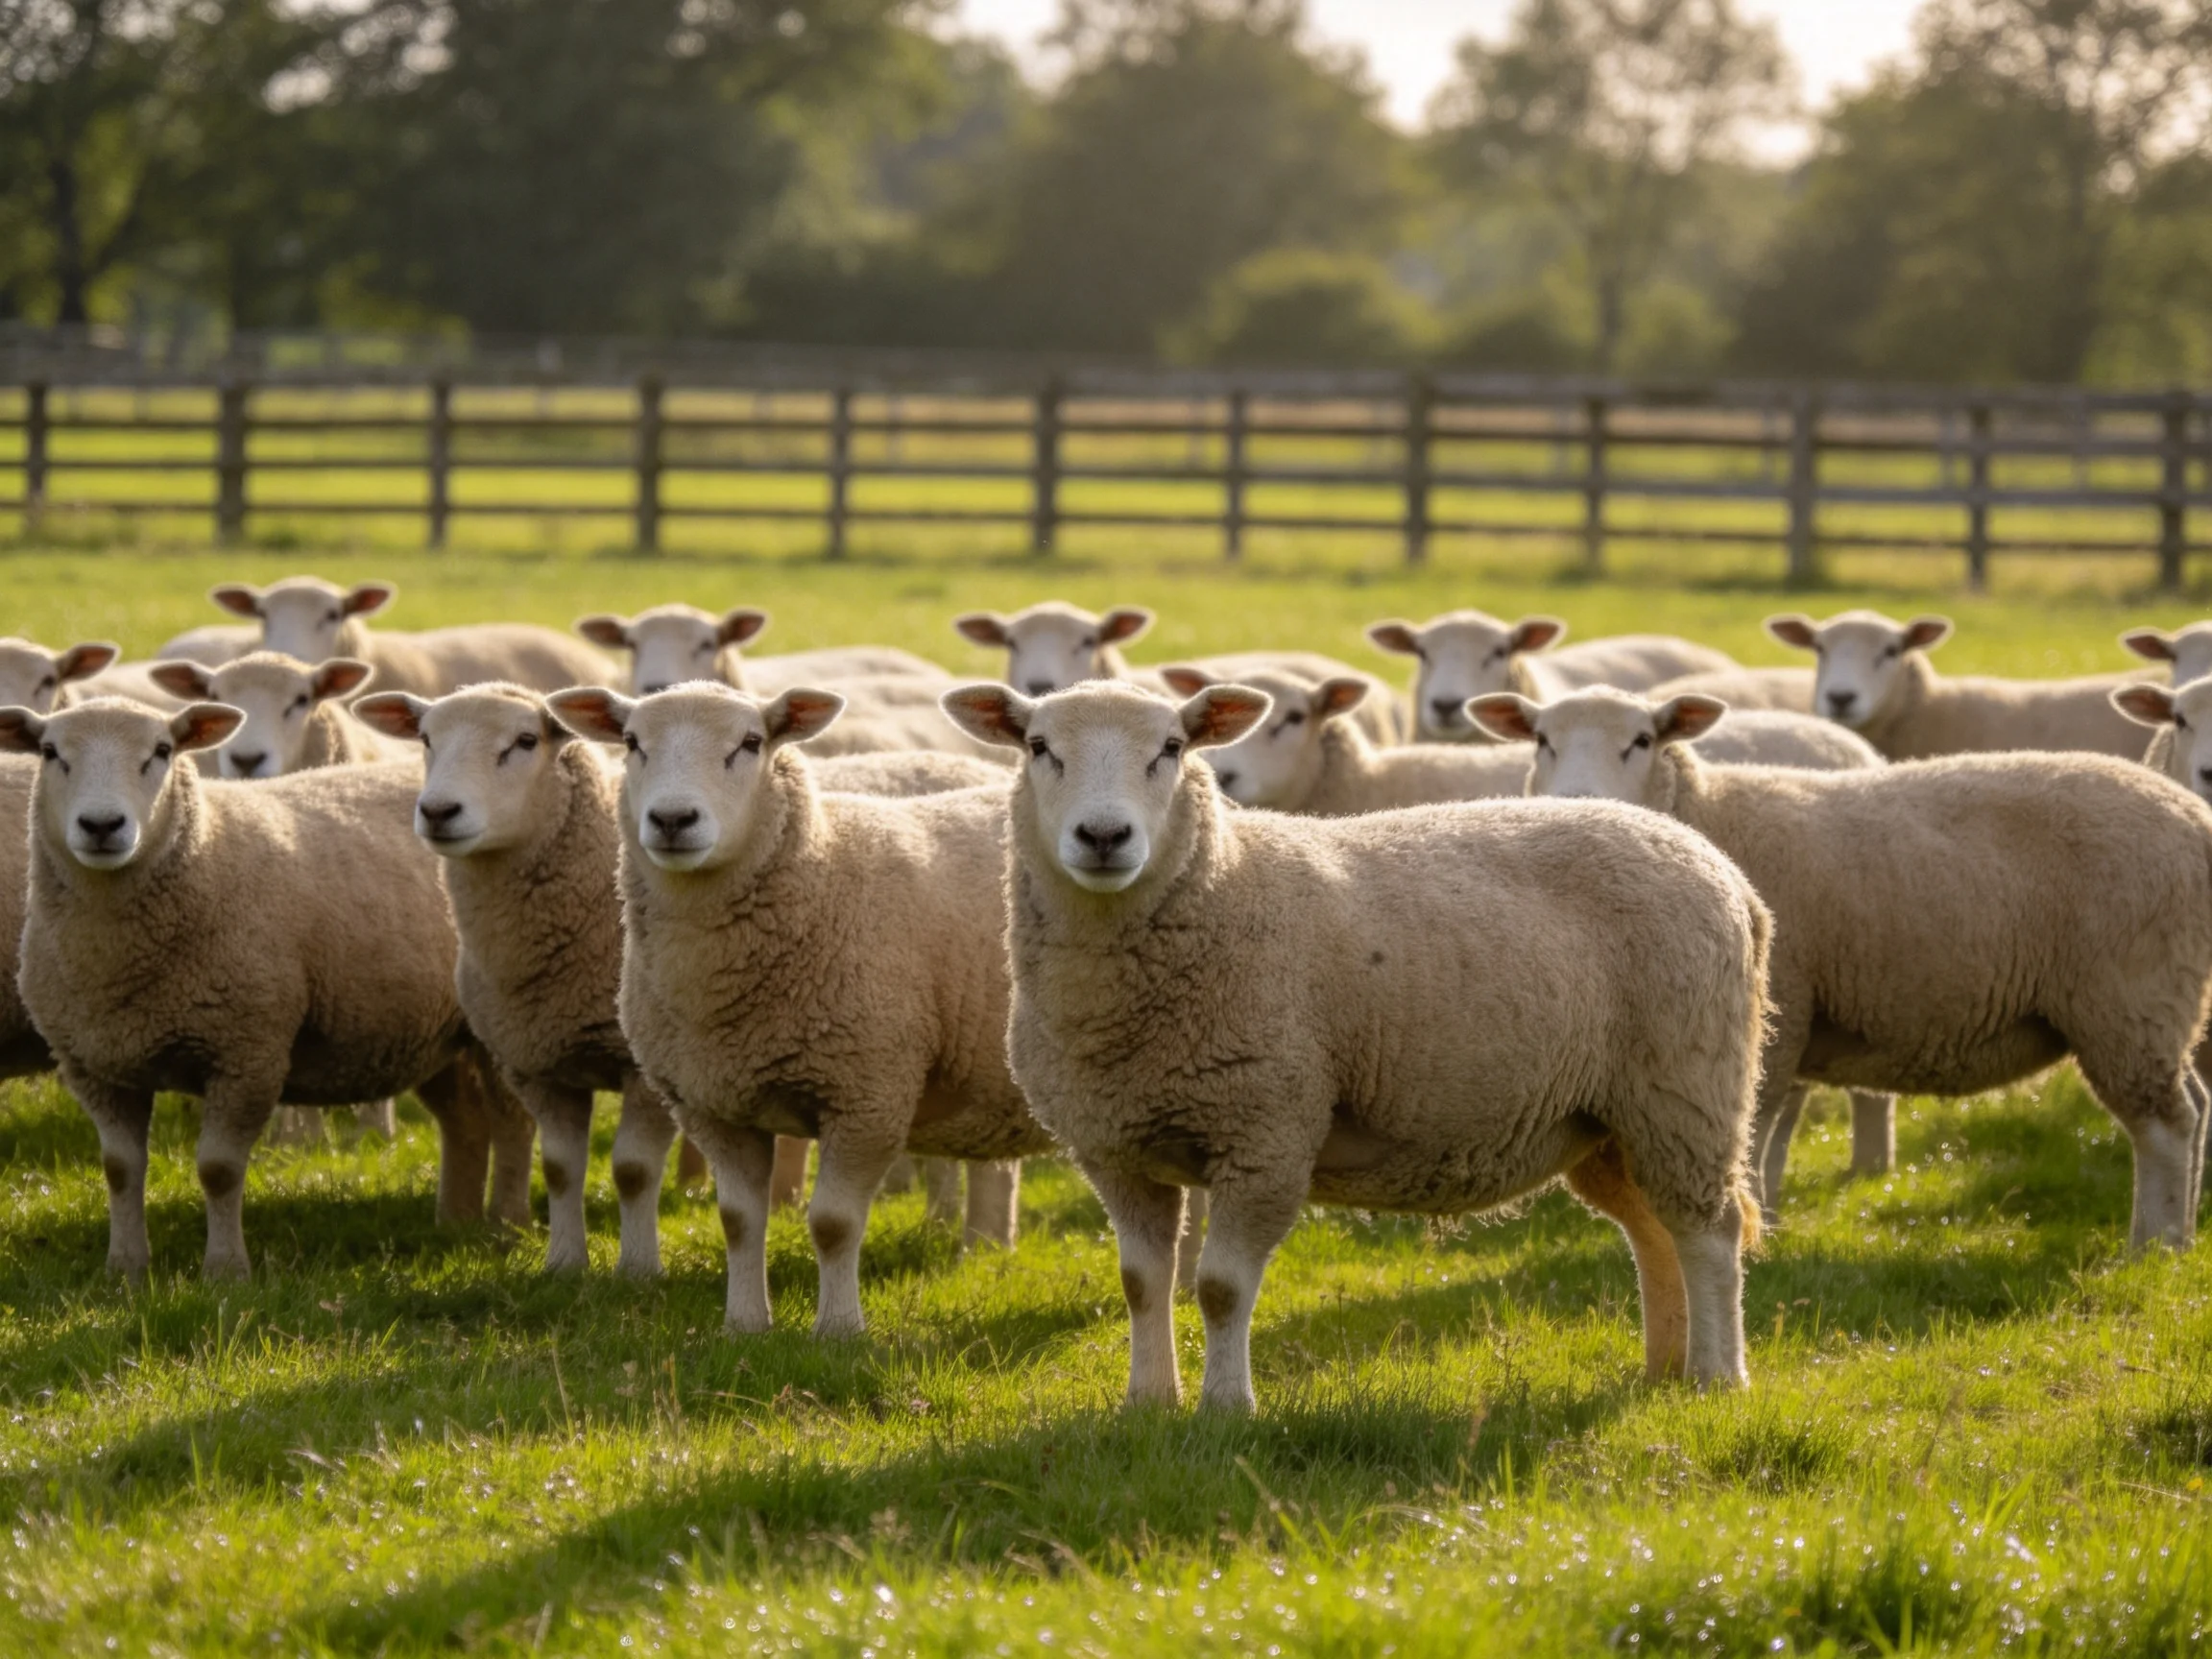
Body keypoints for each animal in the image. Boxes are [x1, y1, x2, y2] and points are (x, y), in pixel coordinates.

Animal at [0, 698, 532, 1279]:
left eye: (162, 751)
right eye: (50, 752)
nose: (102, 825)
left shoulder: (246, 1051)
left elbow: (218, 1169)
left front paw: (226, 1272)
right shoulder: (95, 1064)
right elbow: (119, 1168)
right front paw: (125, 1269)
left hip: (503, 1021)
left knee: (511, 1122)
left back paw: (507, 1225)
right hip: (433, 1029)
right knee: (465, 1120)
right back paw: (455, 1223)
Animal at [543, 682, 1053, 1336]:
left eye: (750, 742)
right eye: (632, 743)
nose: (673, 820)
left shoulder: (868, 1094)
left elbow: (833, 1223)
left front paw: (837, 1330)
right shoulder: (711, 1103)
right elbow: (738, 1220)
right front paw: (744, 1324)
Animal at [939, 678, 1768, 1409]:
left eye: (1171, 748)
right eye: (1039, 747)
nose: (1105, 836)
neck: (1221, 886)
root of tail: (1725, 872)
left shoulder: (1268, 1132)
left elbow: (1219, 1288)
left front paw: (1224, 1406)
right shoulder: (1116, 1148)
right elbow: (1142, 1284)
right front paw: (1146, 1403)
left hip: (1686, 1088)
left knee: (1711, 1232)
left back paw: (1718, 1377)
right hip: (1609, 1118)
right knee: (1654, 1232)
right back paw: (1665, 1368)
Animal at [1471, 685, 2212, 1249]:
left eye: (1643, 739)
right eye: (1541, 739)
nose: (1575, 797)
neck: (1708, 811)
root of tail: (2194, 817)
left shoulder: (1778, 1010)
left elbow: (1760, 1132)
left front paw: (1759, 1230)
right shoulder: (1787, 1017)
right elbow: (1774, 1132)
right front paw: (1767, 1223)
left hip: (2128, 996)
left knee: (2164, 1123)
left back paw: (2155, 1242)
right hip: (2158, 1000)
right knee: (2194, 1105)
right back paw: (2184, 1228)